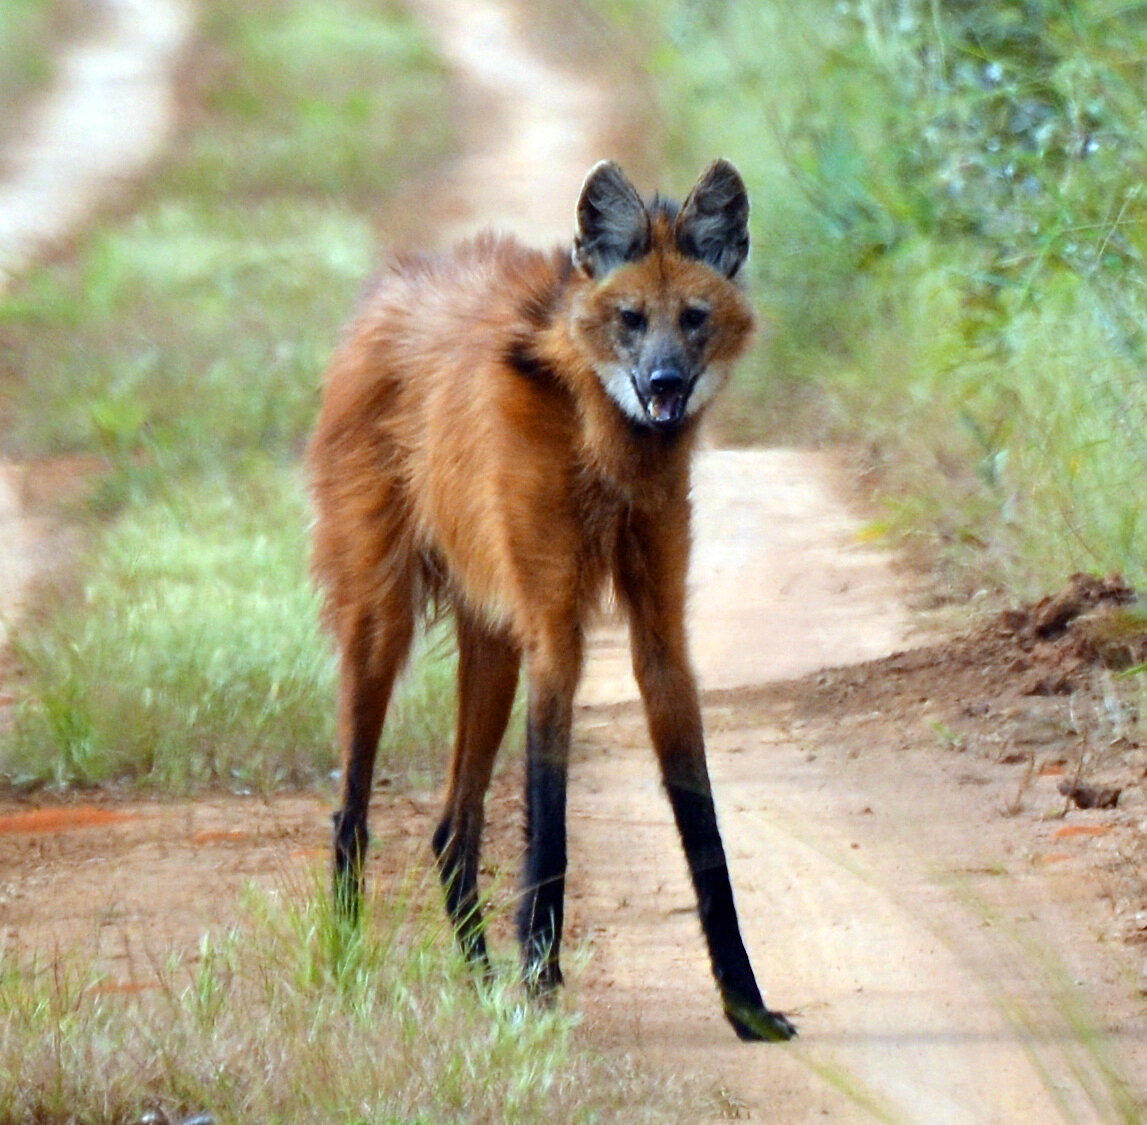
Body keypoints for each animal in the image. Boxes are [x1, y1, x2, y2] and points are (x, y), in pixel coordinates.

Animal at [309, 158, 802, 1045]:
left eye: (695, 318)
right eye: (631, 319)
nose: (664, 384)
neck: (605, 444)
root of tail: (387, 287)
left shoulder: (659, 629)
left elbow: (703, 830)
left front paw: (746, 1004)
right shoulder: (553, 627)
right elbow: (550, 817)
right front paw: (540, 980)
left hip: (492, 640)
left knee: (452, 827)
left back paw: (477, 981)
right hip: (381, 618)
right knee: (351, 811)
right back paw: (348, 965)